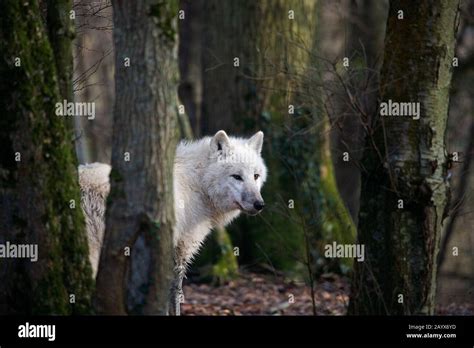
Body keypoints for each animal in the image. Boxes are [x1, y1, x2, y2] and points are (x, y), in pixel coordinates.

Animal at [79, 130, 268, 316]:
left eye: (256, 176)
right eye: (237, 177)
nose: (259, 204)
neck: (199, 183)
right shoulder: (181, 247)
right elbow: (175, 292)